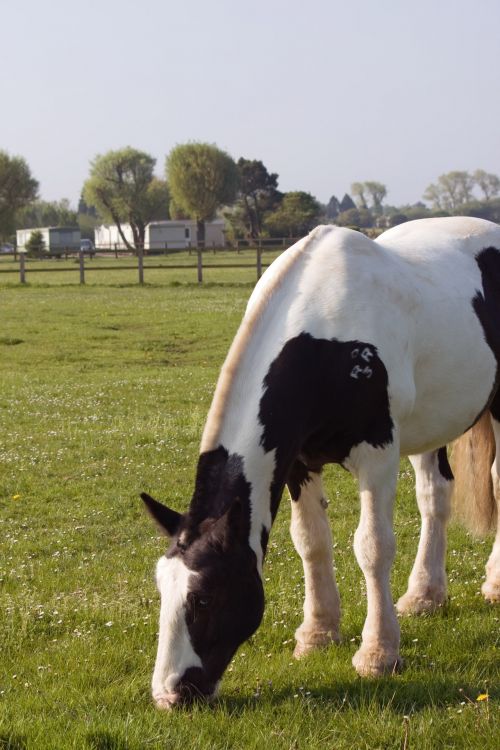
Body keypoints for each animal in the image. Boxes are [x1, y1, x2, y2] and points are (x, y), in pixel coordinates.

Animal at [141, 217, 500, 712]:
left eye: (205, 599)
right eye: (162, 590)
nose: (170, 693)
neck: (325, 339)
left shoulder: (377, 454)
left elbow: (372, 547)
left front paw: (378, 653)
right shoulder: (298, 461)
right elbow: (311, 542)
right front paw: (317, 633)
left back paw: (494, 584)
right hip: (432, 425)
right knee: (435, 496)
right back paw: (424, 595)